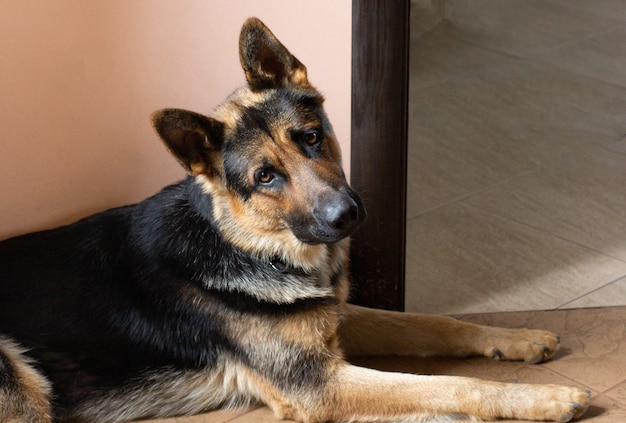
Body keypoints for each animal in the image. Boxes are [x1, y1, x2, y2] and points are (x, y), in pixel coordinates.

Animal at [0, 17, 588, 423]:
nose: (346, 216)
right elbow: (451, 386)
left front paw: (517, 339)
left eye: (310, 137)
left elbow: (434, 323)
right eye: (264, 177)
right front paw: (547, 397)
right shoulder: (318, 383)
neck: (248, 246)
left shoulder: (334, 319)